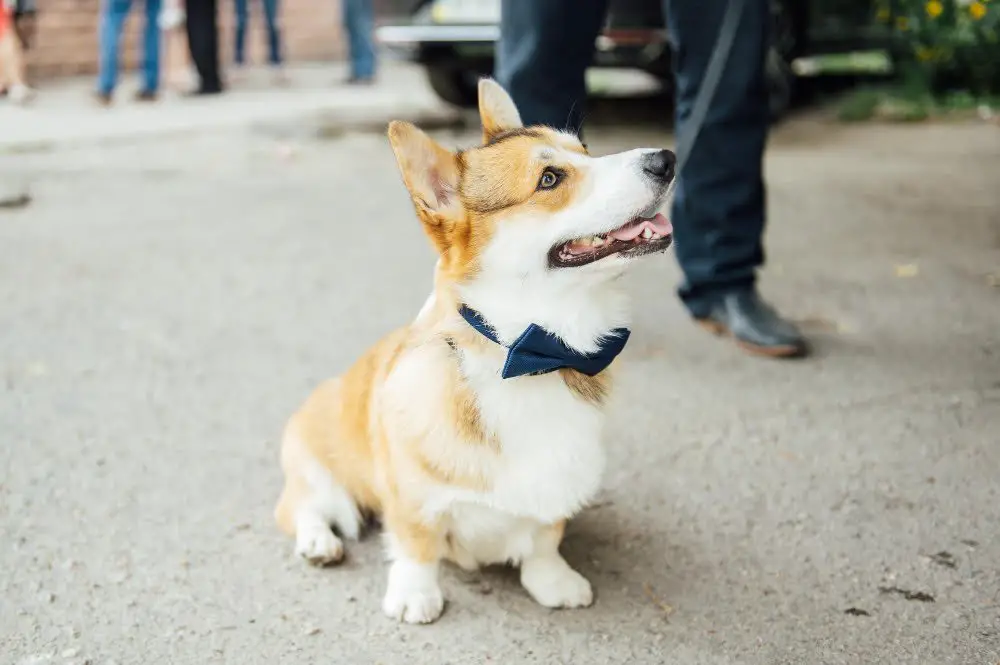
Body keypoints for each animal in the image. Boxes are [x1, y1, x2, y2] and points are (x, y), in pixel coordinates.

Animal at [276, 80, 672, 624]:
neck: (531, 355)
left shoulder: (557, 482)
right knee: (302, 505)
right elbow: (416, 544)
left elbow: (545, 539)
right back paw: (318, 541)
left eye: (586, 150)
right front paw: (415, 596)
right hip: (315, 455)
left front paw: (553, 582)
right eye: (550, 178)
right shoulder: (412, 496)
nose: (666, 159)